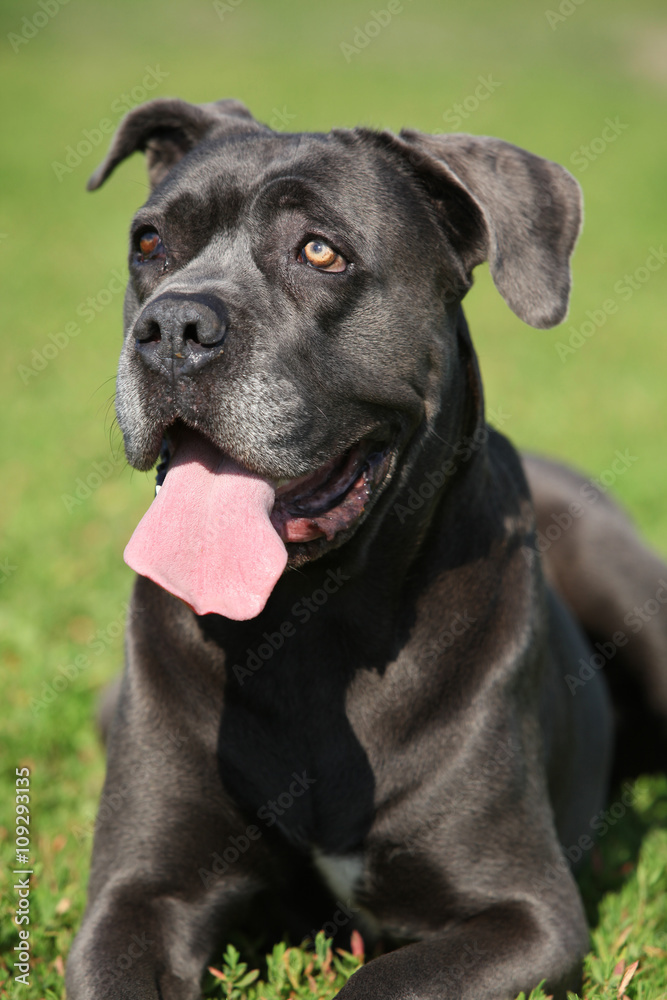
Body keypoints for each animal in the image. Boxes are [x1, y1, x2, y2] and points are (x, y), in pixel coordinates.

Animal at [66, 95, 667, 1000]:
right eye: (149, 242)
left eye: (321, 251)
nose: (172, 324)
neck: (314, 628)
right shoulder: (136, 894)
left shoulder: (525, 914)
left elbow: (382, 982)